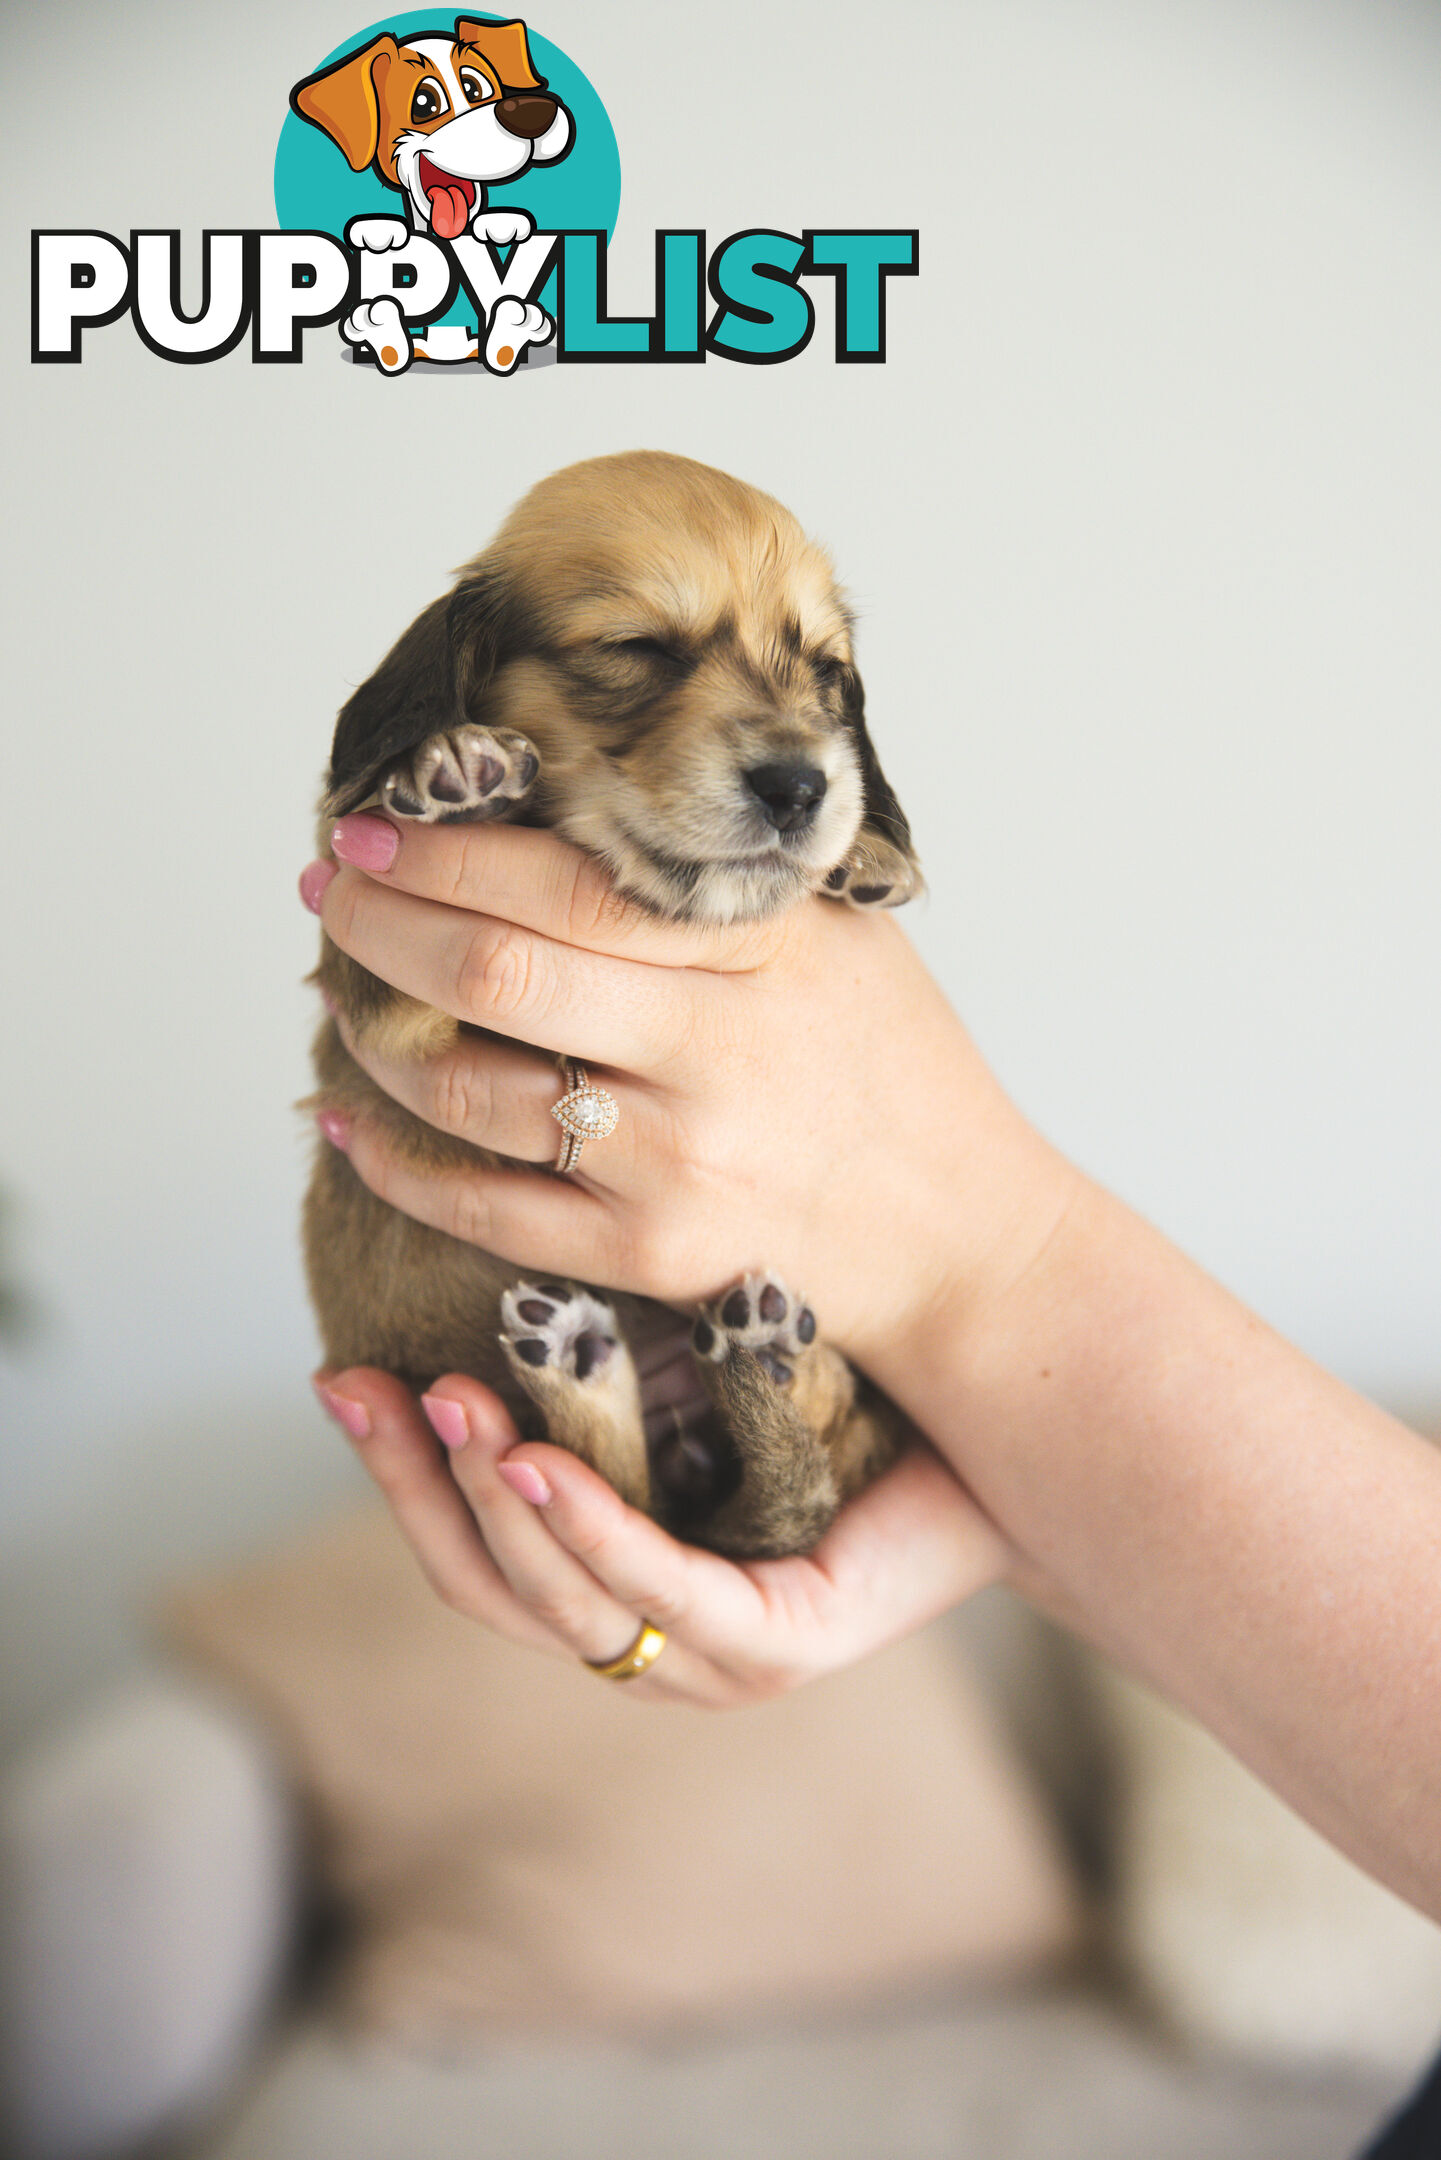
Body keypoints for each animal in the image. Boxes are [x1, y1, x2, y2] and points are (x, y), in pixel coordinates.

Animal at [306, 451, 924, 1555]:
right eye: (637, 649)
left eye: (824, 672)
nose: (800, 787)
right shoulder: (377, 984)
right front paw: (453, 771)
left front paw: (868, 855)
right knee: (605, 1479)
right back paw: (590, 1367)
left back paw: (758, 1358)